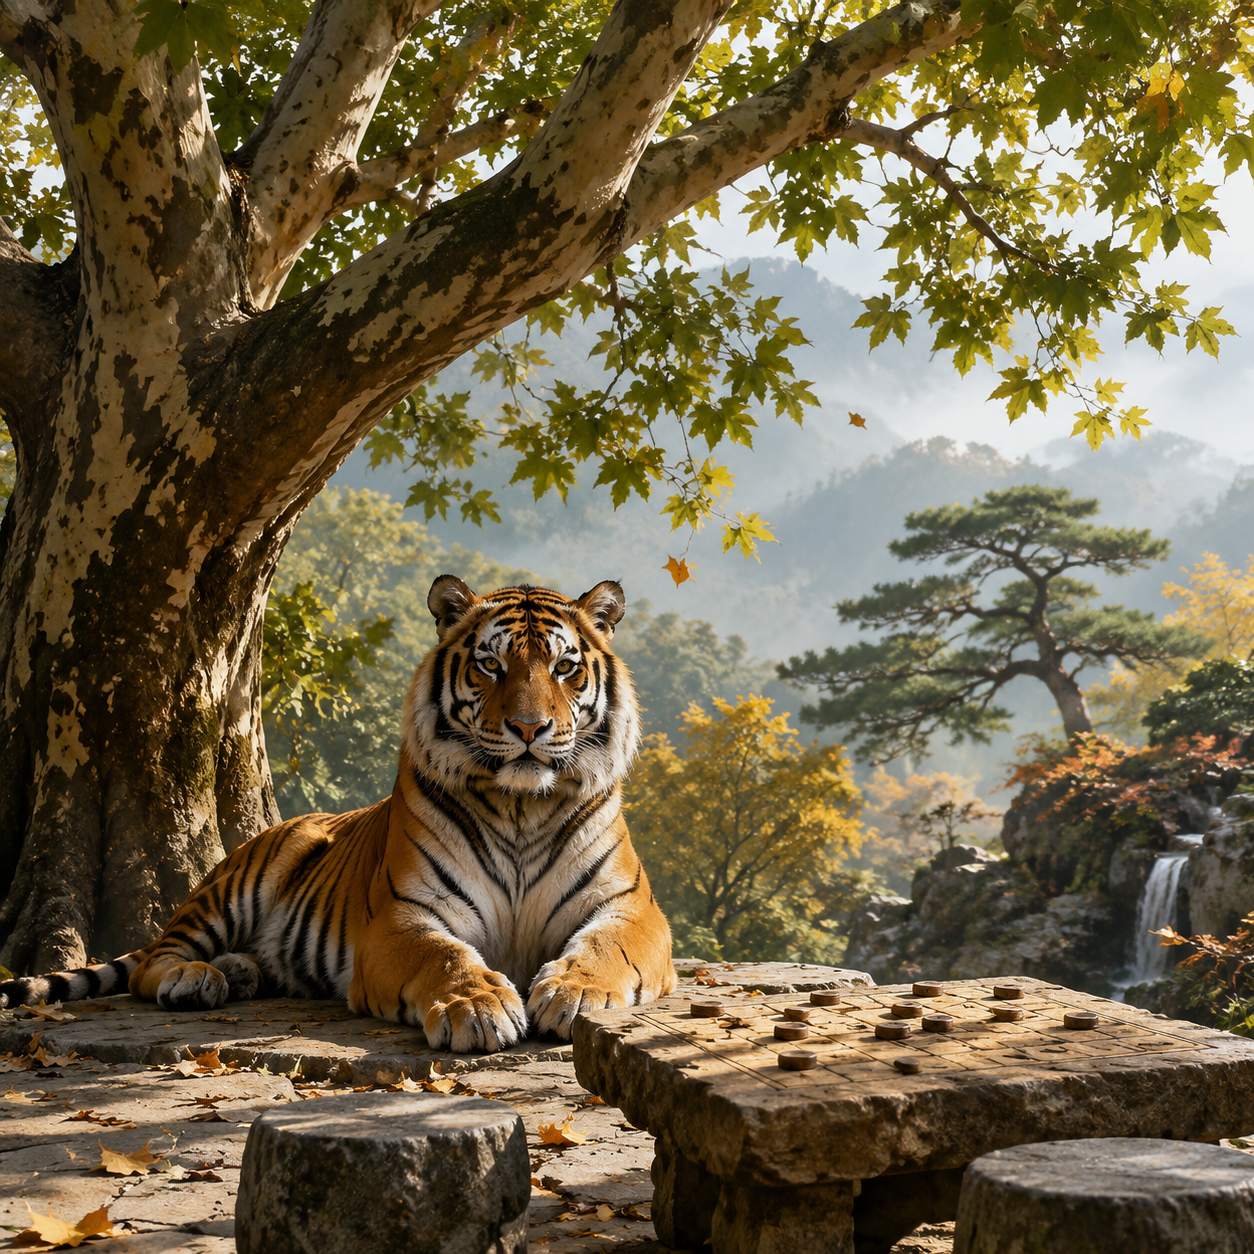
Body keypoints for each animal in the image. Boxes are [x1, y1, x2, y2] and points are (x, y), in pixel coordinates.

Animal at [0, 577, 675, 1052]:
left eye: (565, 666)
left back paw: (239, 972)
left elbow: (605, 948)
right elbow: (446, 956)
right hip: (236, 885)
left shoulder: (632, 907)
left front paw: (576, 993)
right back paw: (196, 978)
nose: (530, 728)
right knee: (154, 960)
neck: (519, 806)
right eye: (491, 664)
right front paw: (478, 1006)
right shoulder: (403, 916)